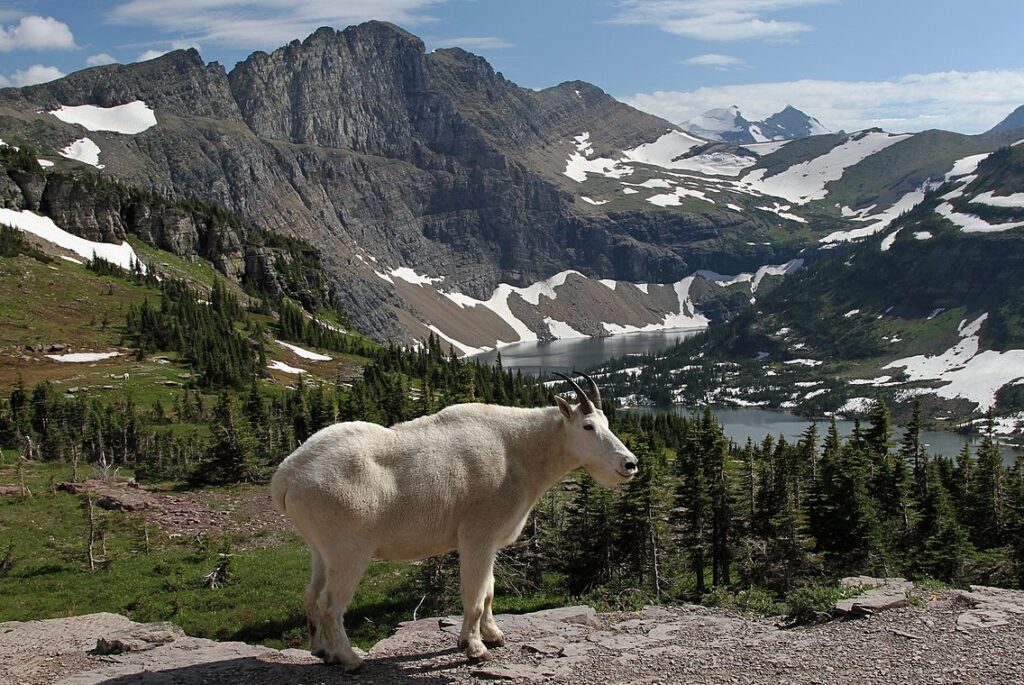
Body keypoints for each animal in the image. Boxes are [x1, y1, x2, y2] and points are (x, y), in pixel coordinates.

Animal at [272, 374, 638, 667]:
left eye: (608, 423)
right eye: (588, 427)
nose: (630, 464)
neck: (520, 452)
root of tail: (286, 476)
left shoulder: (490, 543)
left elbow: (488, 591)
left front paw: (494, 635)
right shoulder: (477, 536)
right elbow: (474, 596)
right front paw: (474, 648)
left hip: (320, 549)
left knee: (311, 596)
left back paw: (322, 651)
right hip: (348, 550)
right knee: (330, 605)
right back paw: (349, 659)